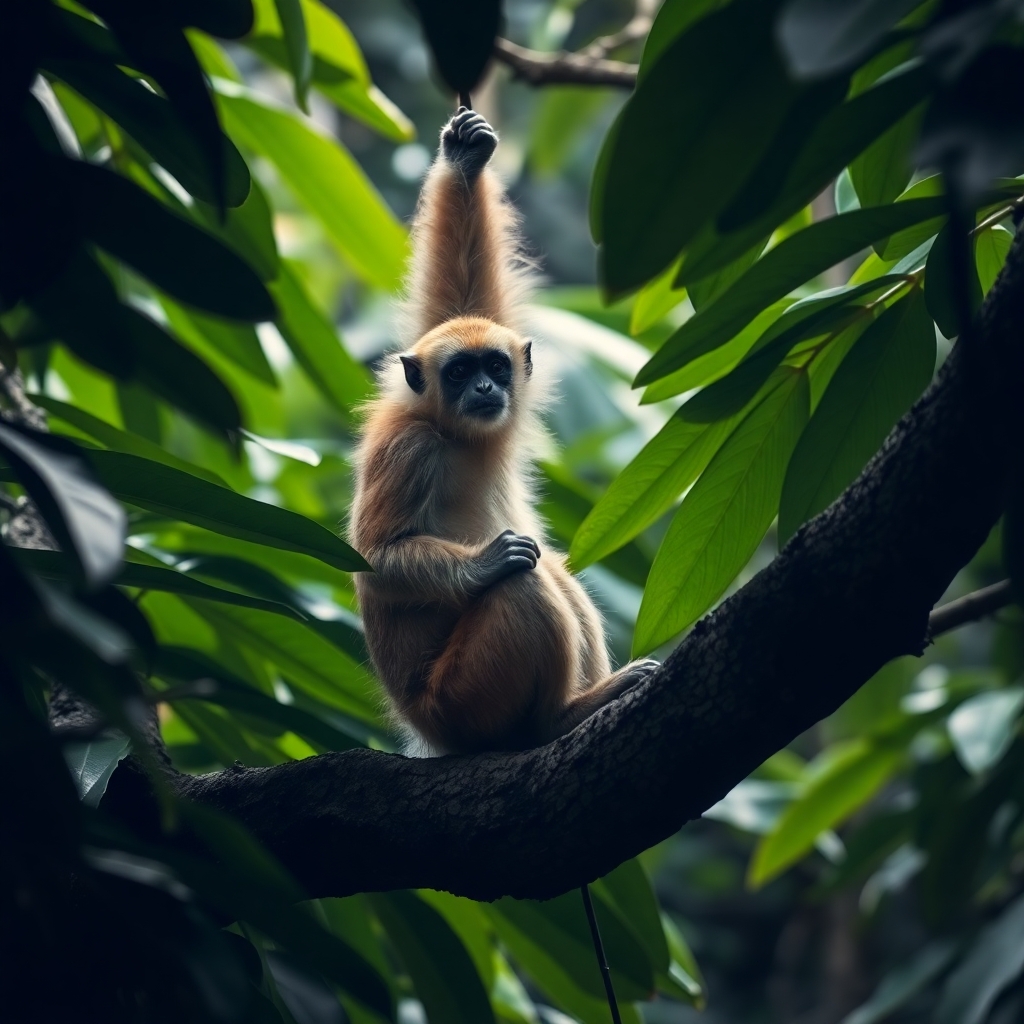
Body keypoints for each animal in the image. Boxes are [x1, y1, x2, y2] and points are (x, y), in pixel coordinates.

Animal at [348, 108, 658, 756]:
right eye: (459, 372)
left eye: (492, 365)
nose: (486, 389)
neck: (458, 437)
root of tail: (429, 730)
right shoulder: (408, 446)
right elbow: (375, 557)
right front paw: (482, 566)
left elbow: (459, 289)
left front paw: (464, 158)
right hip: (462, 699)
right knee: (527, 580)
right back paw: (562, 717)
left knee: (556, 571)